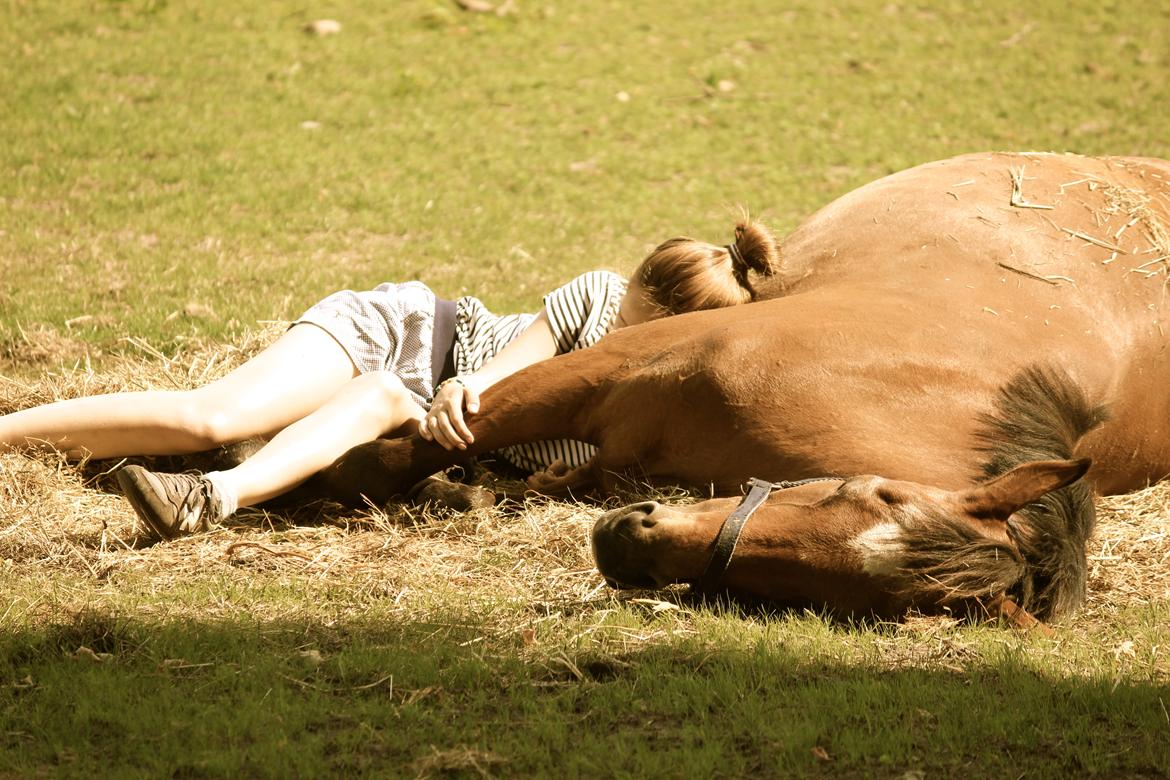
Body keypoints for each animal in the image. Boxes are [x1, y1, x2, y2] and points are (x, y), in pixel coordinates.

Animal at [318, 152, 1170, 626]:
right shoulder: (612, 366)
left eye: (837, 602)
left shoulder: (619, 448)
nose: (630, 539)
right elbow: (388, 456)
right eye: (862, 491)